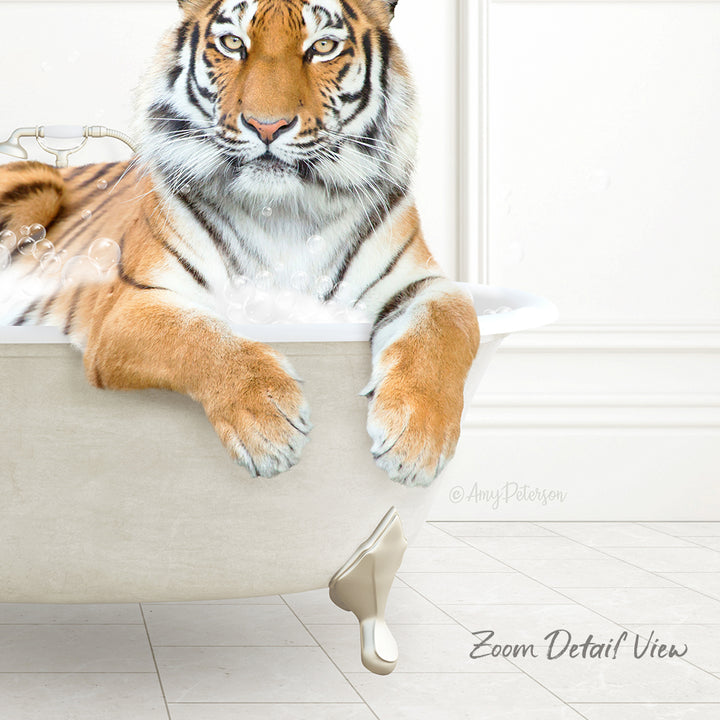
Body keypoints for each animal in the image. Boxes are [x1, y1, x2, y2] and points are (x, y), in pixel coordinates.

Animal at [0, 0, 479, 487]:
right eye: (233, 43)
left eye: (323, 46)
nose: (267, 126)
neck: (284, 212)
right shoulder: (130, 305)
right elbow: (198, 336)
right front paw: (268, 426)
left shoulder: (423, 283)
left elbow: (448, 326)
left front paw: (416, 440)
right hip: (40, 183)